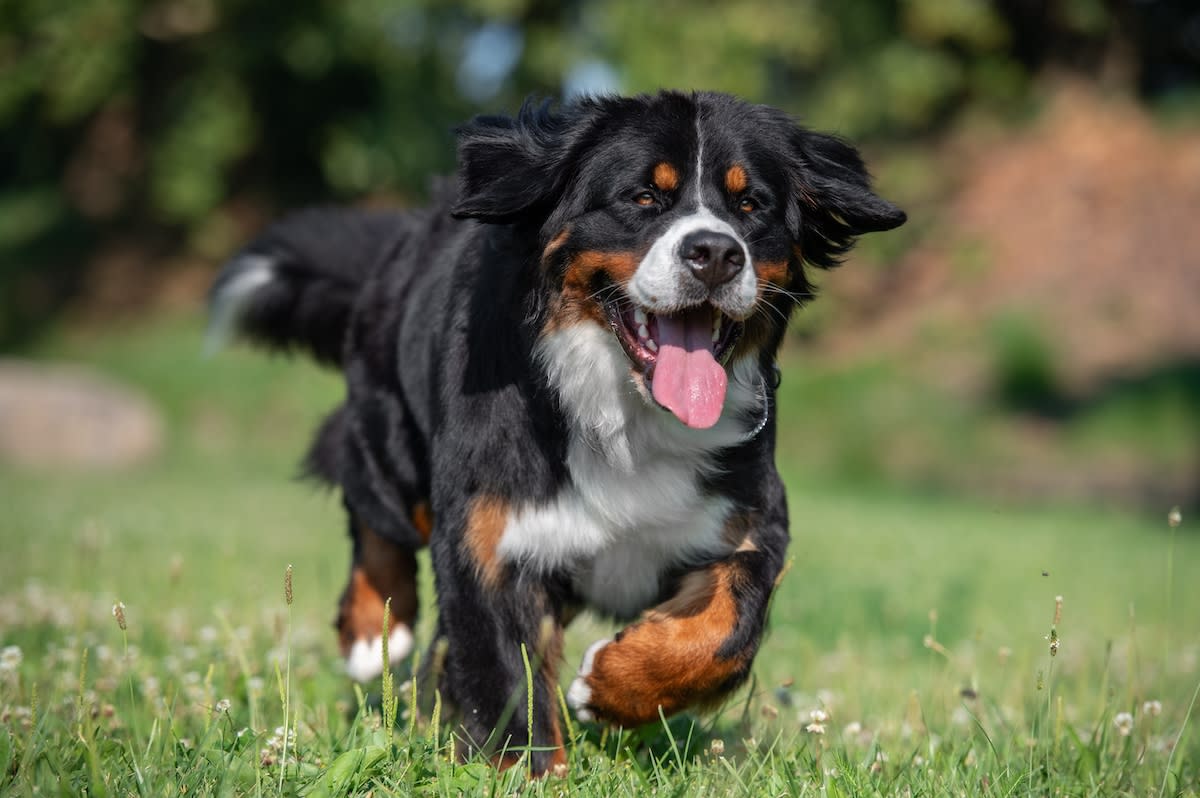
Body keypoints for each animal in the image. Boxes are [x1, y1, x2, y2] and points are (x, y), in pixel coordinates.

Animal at [211, 91, 902, 772]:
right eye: (643, 197)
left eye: (750, 204)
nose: (715, 254)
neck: (625, 417)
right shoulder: (491, 536)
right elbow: (505, 683)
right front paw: (527, 771)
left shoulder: (748, 520)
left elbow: (725, 636)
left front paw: (612, 684)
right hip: (391, 443)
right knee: (368, 499)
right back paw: (370, 631)